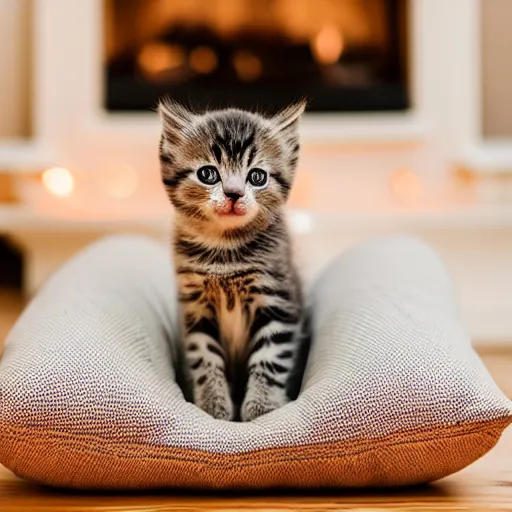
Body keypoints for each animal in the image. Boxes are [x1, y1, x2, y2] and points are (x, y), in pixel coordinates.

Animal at [157, 98, 308, 422]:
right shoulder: (196, 306)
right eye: (208, 174)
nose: (234, 194)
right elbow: (204, 355)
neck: (225, 250)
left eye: (257, 177)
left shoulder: (277, 299)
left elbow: (271, 356)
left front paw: (261, 408)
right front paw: (213, 404)